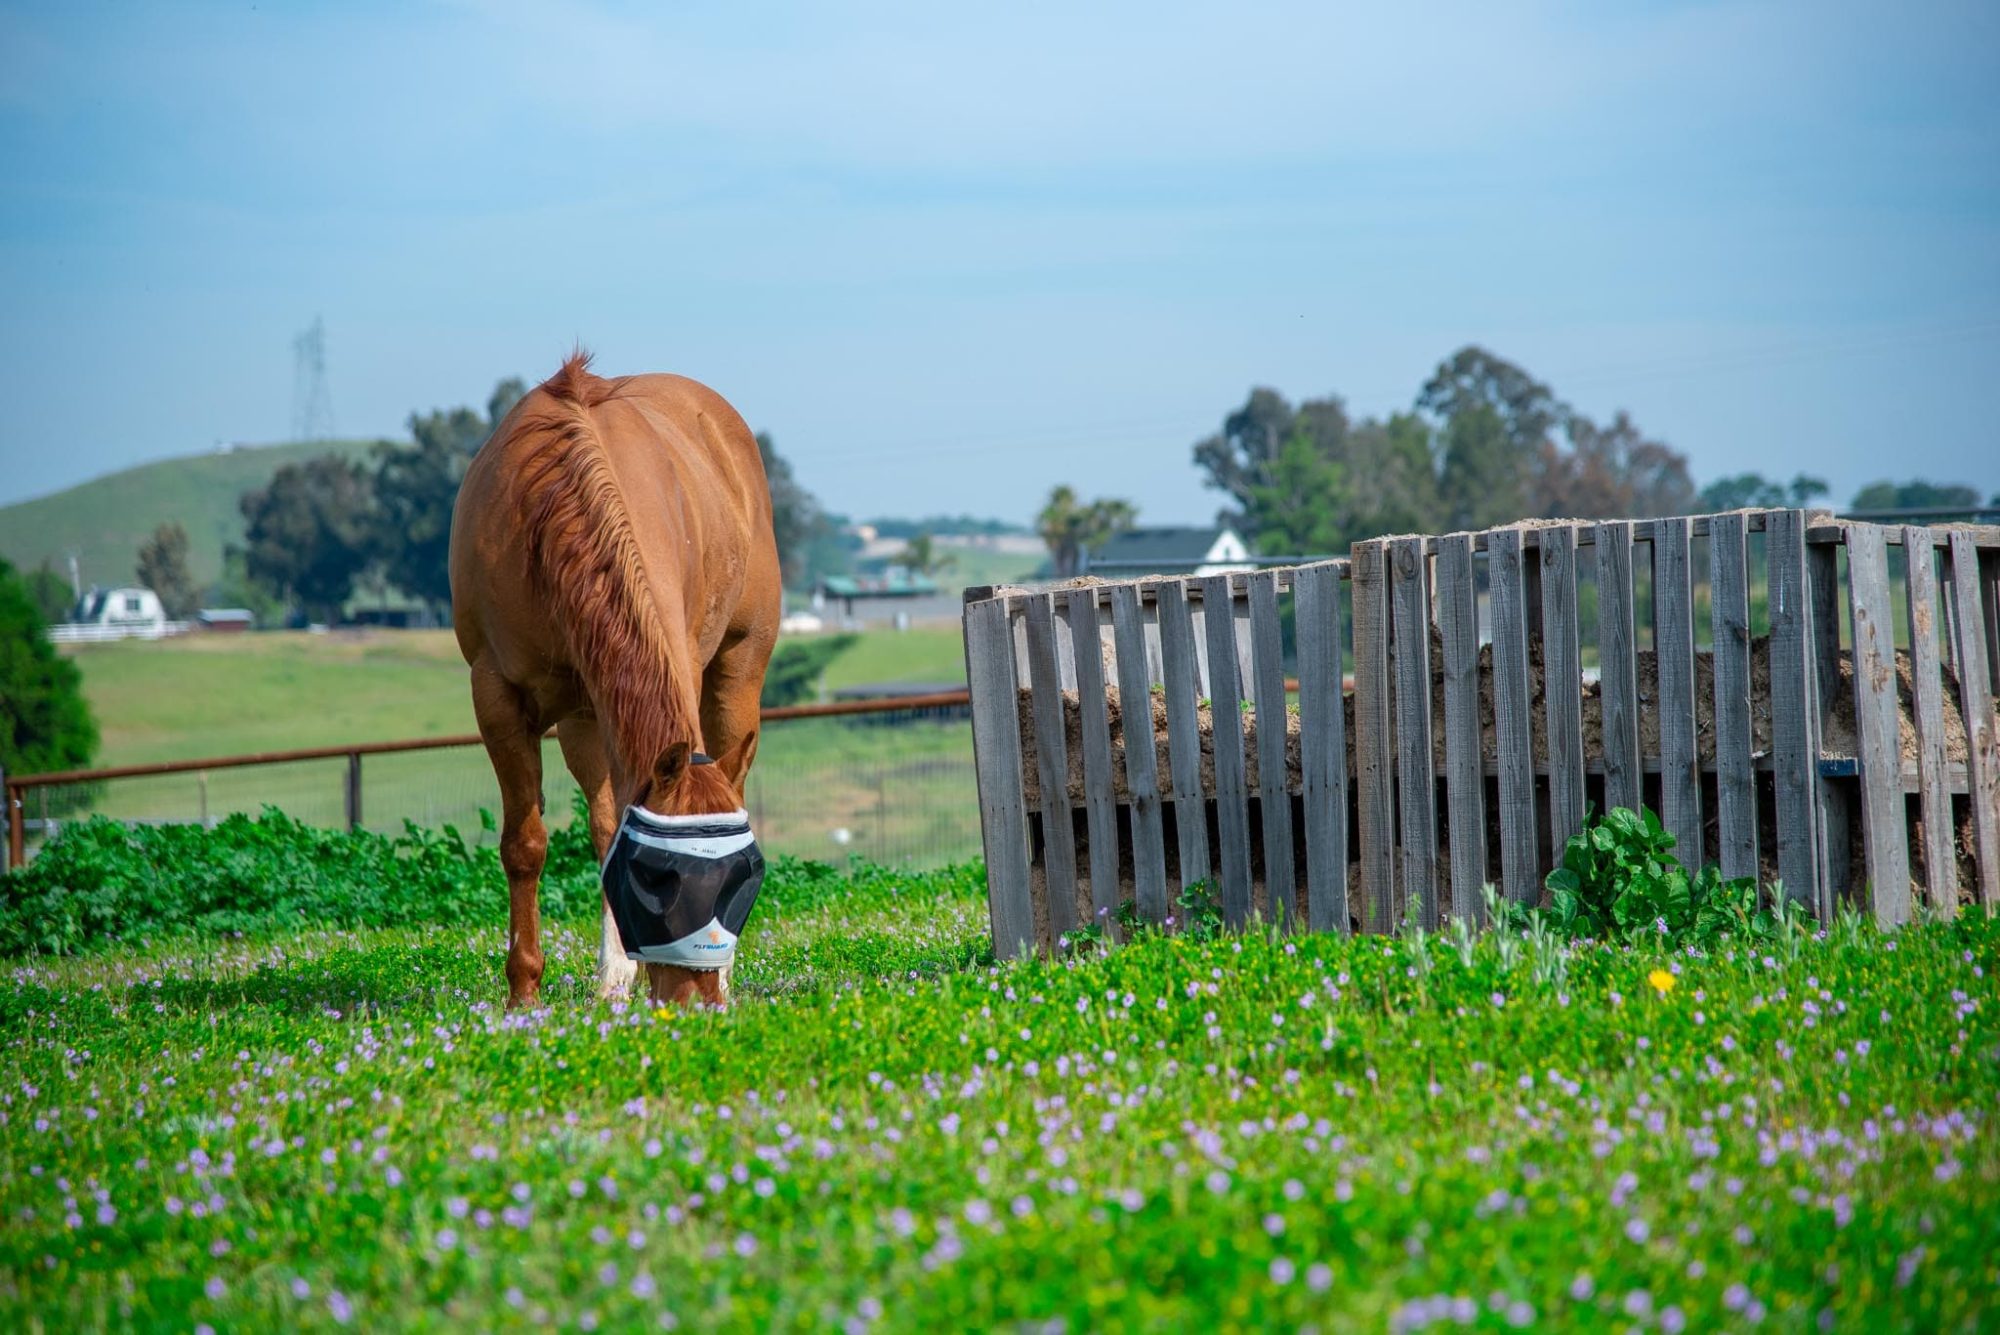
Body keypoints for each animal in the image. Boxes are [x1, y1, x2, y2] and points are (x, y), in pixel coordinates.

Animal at [450, 352, 780, 1009]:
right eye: (655, 879)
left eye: (742, 881)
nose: (699, 1004)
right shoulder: (496, 696)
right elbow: (526, 844)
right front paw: (523, 994)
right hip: (587, 714)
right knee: (605, 820)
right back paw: (615, 971)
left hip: (736, 670)